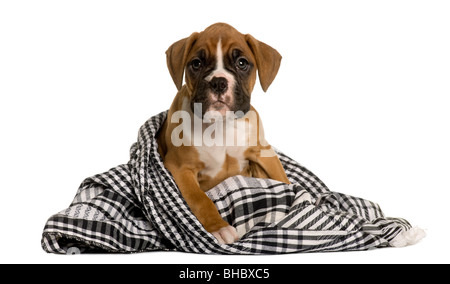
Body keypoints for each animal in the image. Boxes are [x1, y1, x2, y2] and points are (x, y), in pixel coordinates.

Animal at [158, 22, 290, 244]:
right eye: (196, 64)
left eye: (242, 63)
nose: (218, 82)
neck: (221, 125)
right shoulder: (180, 168)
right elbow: (201, 199)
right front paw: (219, 227)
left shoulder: (264, 152)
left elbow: (282, 178)